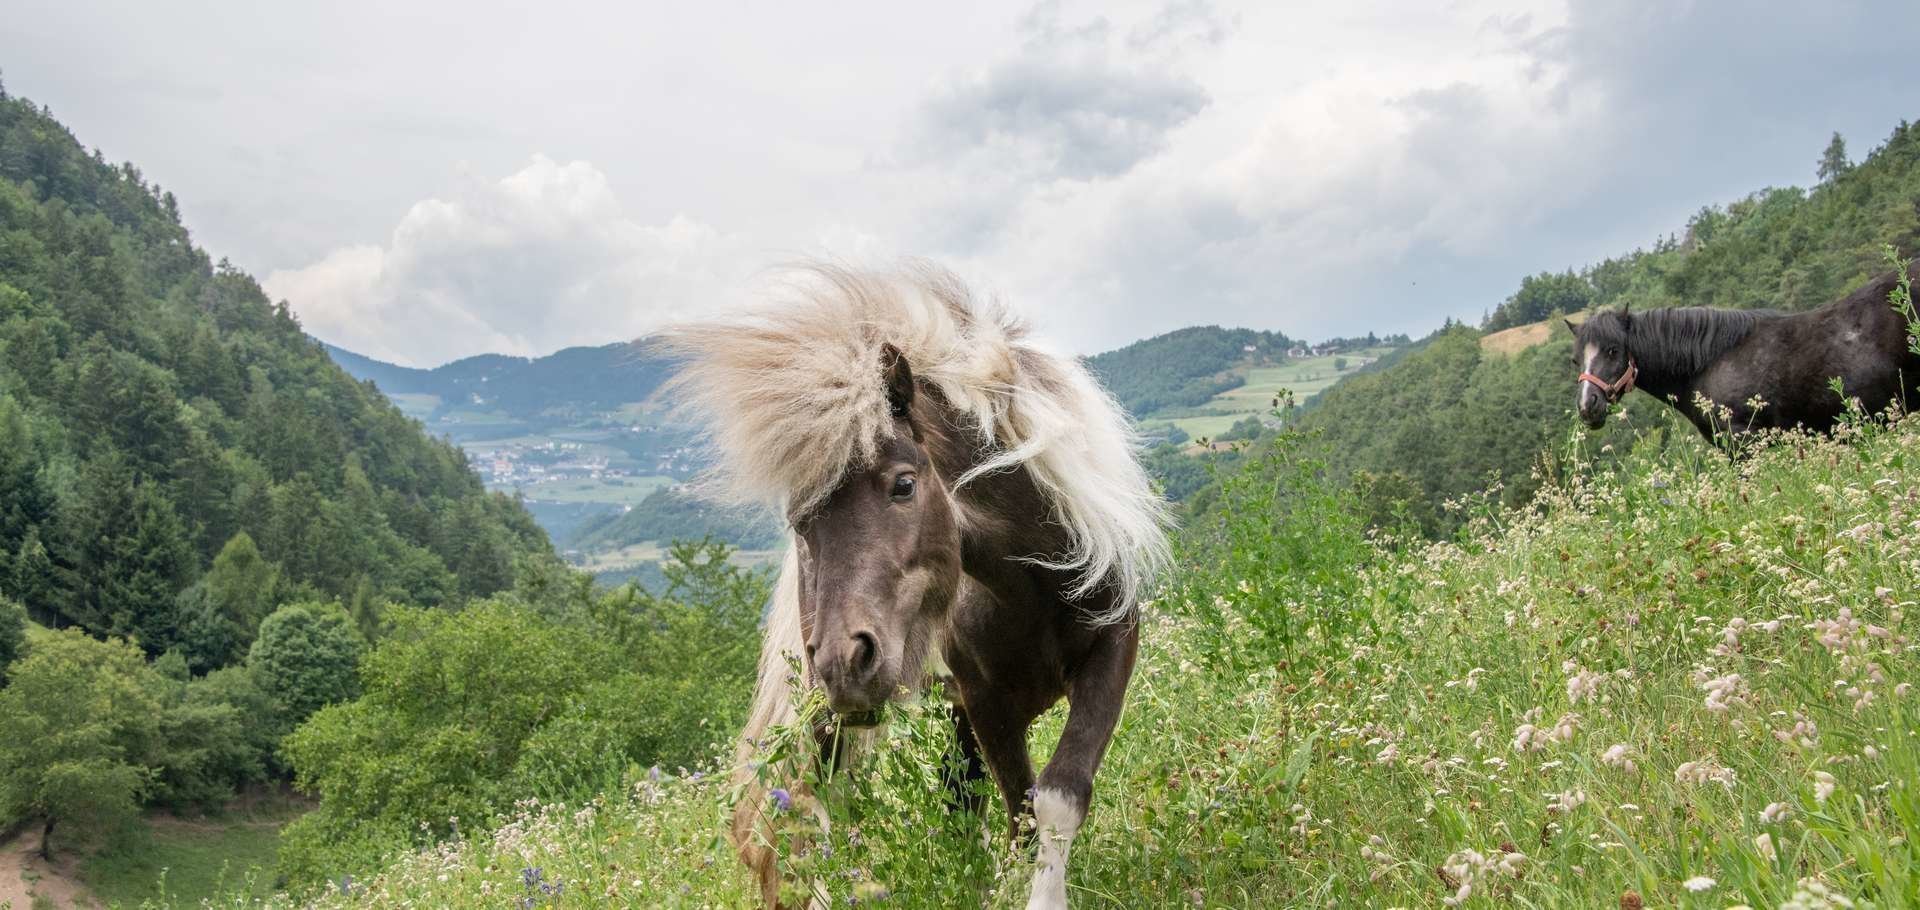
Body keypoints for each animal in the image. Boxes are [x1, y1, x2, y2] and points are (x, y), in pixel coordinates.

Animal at [660, 263, 1167, 910]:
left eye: (903, 484)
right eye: (800, 522)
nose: (844, 661)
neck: (1032, 586)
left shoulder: (1108, 652)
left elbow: (1056, 797)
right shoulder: (985, 700)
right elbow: (1023, 812)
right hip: (832, 720)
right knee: (816, 814)